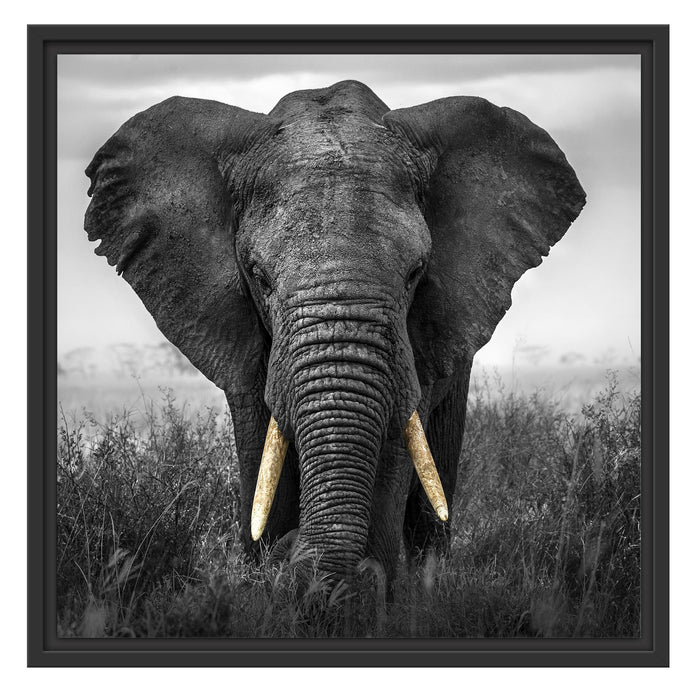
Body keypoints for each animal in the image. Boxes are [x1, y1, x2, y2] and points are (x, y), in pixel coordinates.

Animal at [84, 80, 585, 587]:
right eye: (259, 277)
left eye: (415, 273)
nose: (292, 554)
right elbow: (260, 446)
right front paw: (269, 576)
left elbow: (395, 442)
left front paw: (362, 588)